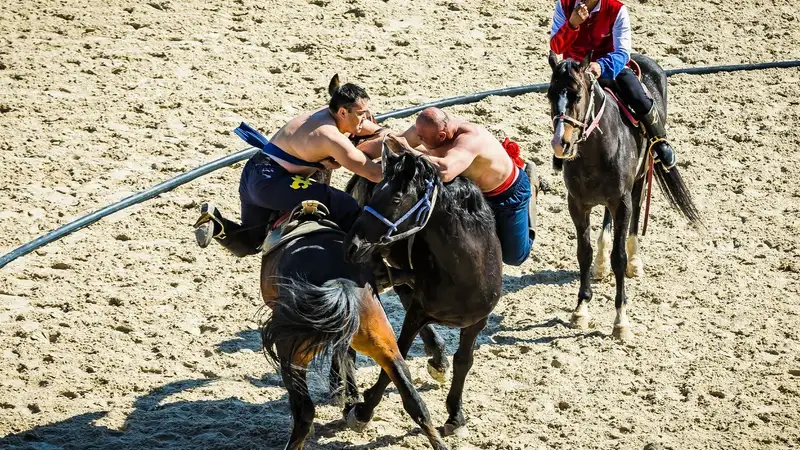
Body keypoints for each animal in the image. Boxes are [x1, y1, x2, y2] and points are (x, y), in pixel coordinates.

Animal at [260, 204, 446, 450]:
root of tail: (341, 283)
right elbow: (347, 360)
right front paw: (350, 400)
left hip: (293, 355)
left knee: (304, 412)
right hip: (385, 345)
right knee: (415, 401)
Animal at [342, 139, 500, 438]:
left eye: (395, 198)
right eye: (374, 193)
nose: (352, 244)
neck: (464, 275)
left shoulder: (477, 322)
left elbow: (464, 361)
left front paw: (455, 415)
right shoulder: (417, 313)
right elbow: (396, 359)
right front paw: (363, 411)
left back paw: (438, 360)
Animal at [544, 51, 700, 340]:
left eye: (577, 96)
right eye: (550, 94)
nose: (561, 144)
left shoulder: (622, 201)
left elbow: (619, 257)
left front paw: (621, 320)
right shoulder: (577, 204)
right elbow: (583, 252)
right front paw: (581, 310)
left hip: (640, 178)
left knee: (637, 212)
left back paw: (635, 262)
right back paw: (600, 264)